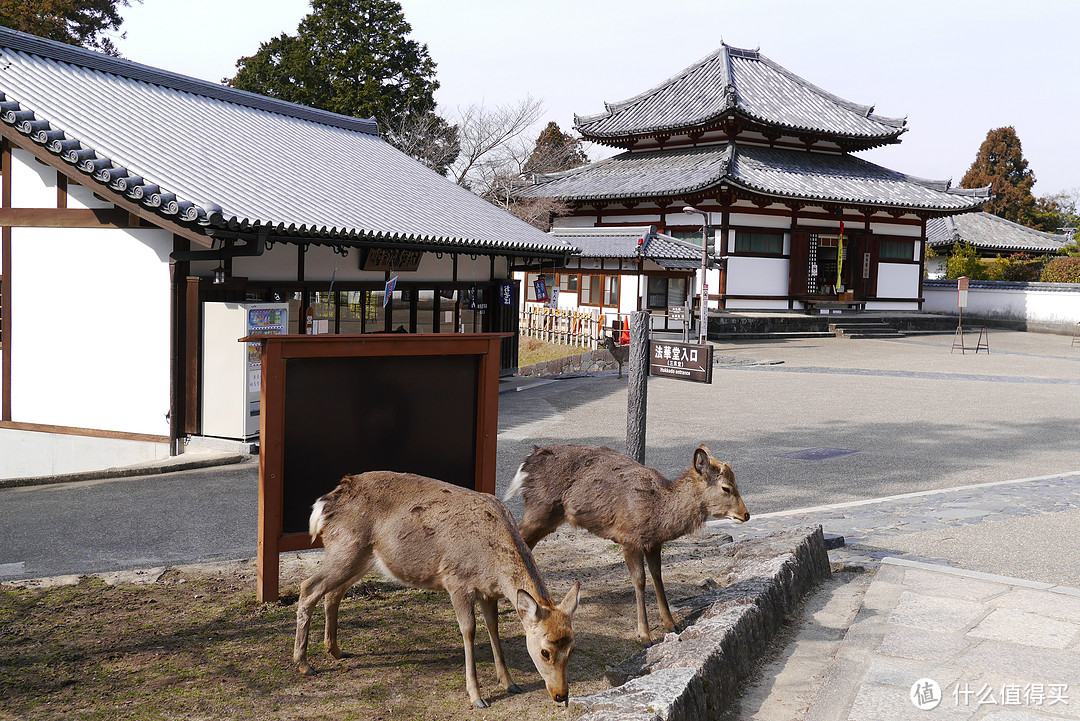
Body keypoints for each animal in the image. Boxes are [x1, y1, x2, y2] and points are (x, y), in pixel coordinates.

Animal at [293, 468, 583, 708]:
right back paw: (304, 664)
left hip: (360, 558)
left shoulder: (488, 592)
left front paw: (510, 683)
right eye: (545, 652)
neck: (492, 566)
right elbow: (469, 631)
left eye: (572, 649)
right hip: (345, 549)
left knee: (333, 593)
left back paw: (335, 650)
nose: (561, 695)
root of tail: (324, 504)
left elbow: (494, 628)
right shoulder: (457, 581)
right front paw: (477, 697)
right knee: (308, 587)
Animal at [507, 442, 751, 643]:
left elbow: (657, 575)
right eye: (726, 488)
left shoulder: (653, 543)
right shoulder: (629, 537)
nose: (746, 514)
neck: (658, 512)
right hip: (540, 509)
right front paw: (645, 636)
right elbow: (640, 580)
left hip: (548, 517)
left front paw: (672, 625)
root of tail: (527, 463)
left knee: (526, 545)